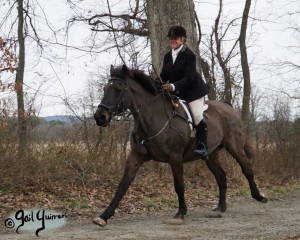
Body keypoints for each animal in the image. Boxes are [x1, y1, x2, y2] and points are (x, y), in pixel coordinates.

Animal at [92, 64, 268, 226]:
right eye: (105, 88)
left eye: (118, 90)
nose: (100, 117)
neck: (152, 118)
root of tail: (228, 106)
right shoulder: (135, 157)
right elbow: (122, 186)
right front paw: (104, 216)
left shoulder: (175, 157)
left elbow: (179, 185)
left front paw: (181, 212)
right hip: (211, 155)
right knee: (221, 176)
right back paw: (220, 208)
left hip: (234, 147)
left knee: (247, 168)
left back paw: (259, 196)